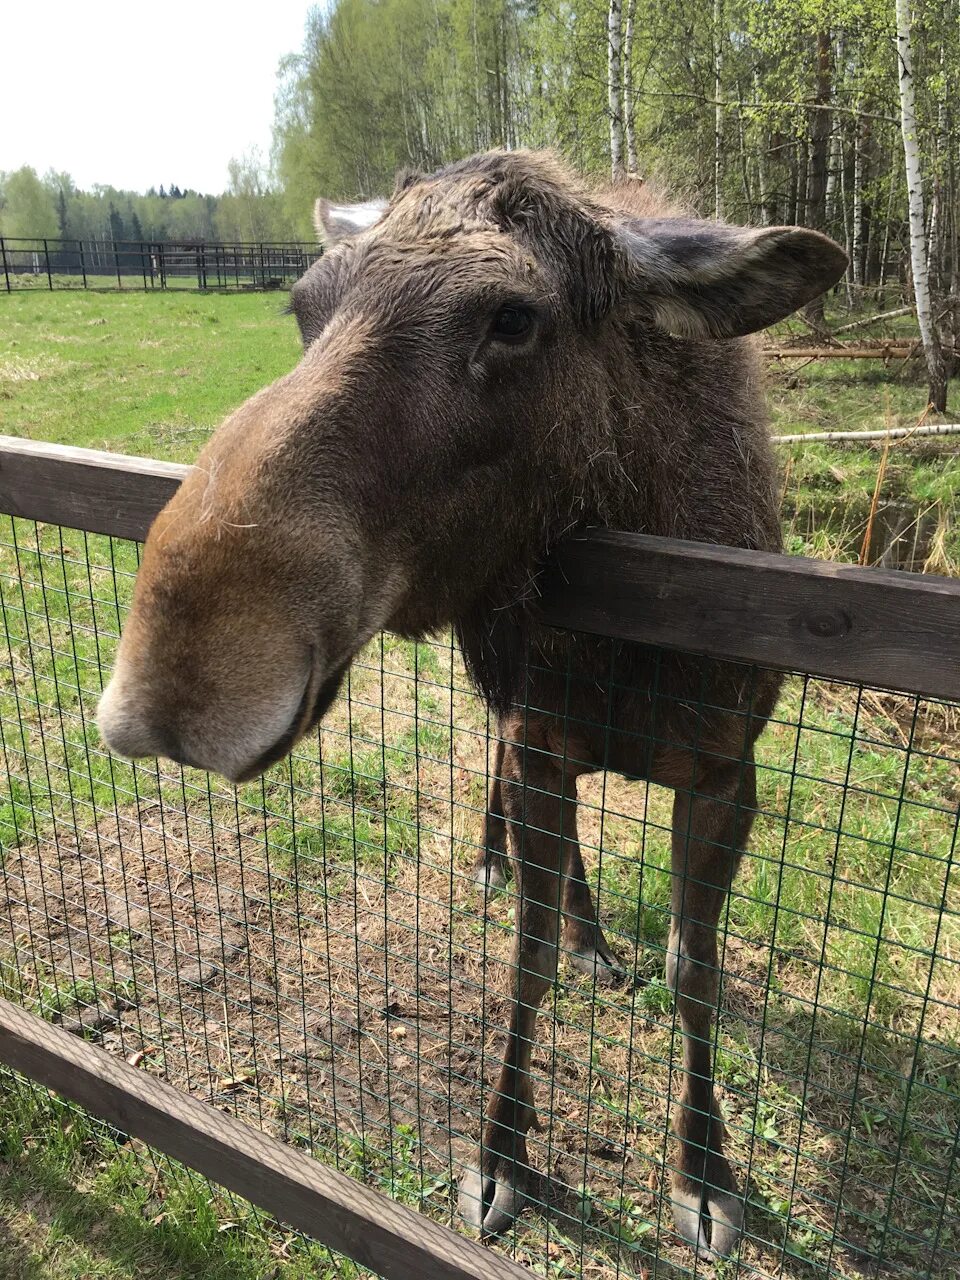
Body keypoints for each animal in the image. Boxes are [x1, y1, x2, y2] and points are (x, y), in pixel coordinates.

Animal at [97, 149, 844, 1259]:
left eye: (513, 318)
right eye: (303, 307)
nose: (181, 677)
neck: (632, 643)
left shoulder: (726, 771)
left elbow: (693, 969)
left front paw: (705, 1172)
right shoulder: (541, 738)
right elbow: (526, 964)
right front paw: (502, 1154)